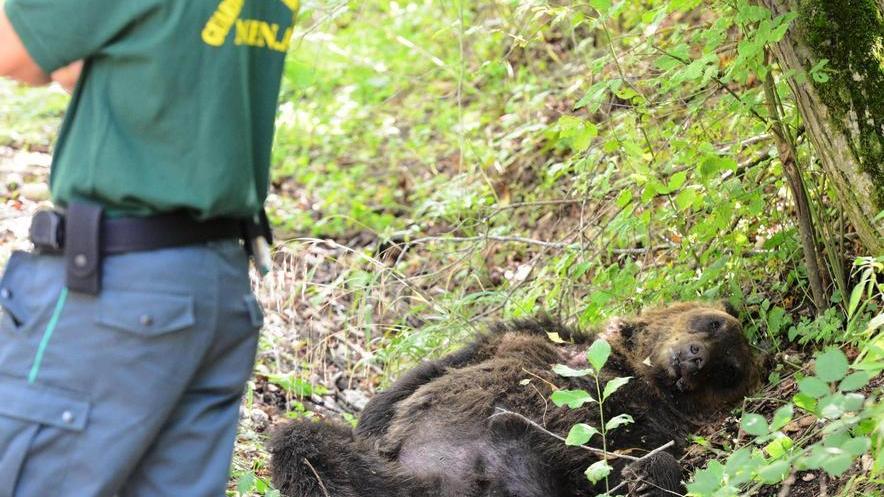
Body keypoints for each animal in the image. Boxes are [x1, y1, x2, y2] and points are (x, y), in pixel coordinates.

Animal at [269, 301, 762, 497]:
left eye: (728, 371)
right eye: (710, 323)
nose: (696, 359)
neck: (627, 369)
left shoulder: (647, 420)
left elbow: (628, 457)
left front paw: (644, 475)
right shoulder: (525, 335)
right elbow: (418, 380)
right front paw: (372, 423)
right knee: (306, 445)